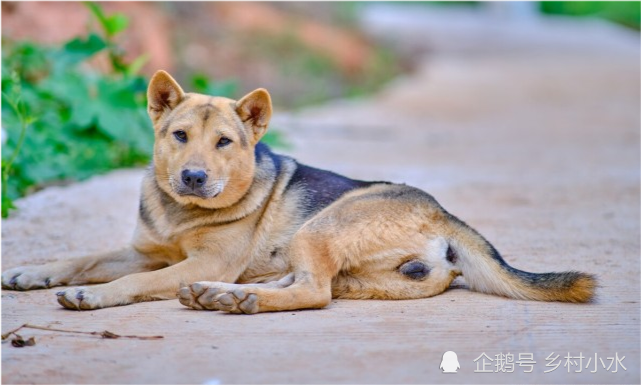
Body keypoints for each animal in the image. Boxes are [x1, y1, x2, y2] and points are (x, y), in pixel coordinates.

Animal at [0, 71, 596, 312]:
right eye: (179, 136)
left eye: (224, 142)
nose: (193, 178)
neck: (181, 212)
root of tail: (445, 215)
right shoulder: (145, 250)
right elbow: (82, 257)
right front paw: (32, 272)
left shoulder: (194, 261)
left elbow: (129, 283)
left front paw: (93, 296)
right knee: (311, 283)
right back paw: (226, 295)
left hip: (322, 224)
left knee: (314, 293)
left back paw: (235, 299)